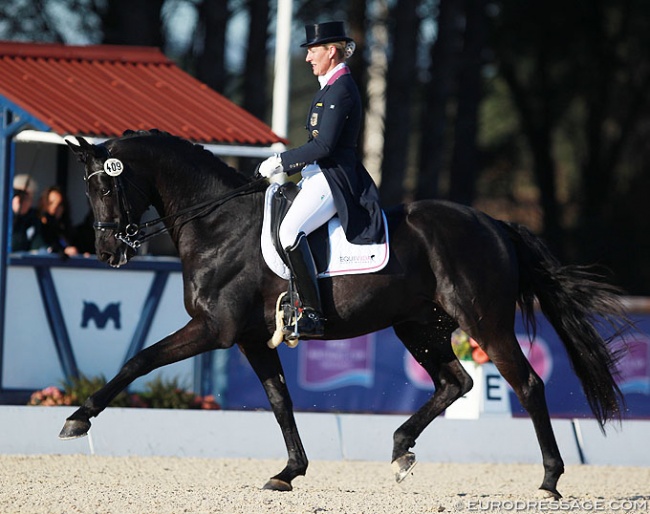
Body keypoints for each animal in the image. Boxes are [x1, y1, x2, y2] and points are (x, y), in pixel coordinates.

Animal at [63, 128, 624, 496]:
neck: (217, 224)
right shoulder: (249, 337)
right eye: (87, 187)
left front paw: (78, 418)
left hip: (483, 322)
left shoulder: (213, 330)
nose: (107, 252)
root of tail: (493, 224)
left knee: (526, 383)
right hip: (418, 326)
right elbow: (280, 401)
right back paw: (400, 450)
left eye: (105, 185)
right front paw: (289, 472)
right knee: (455, 382)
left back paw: (549, 479)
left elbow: (139, 360)